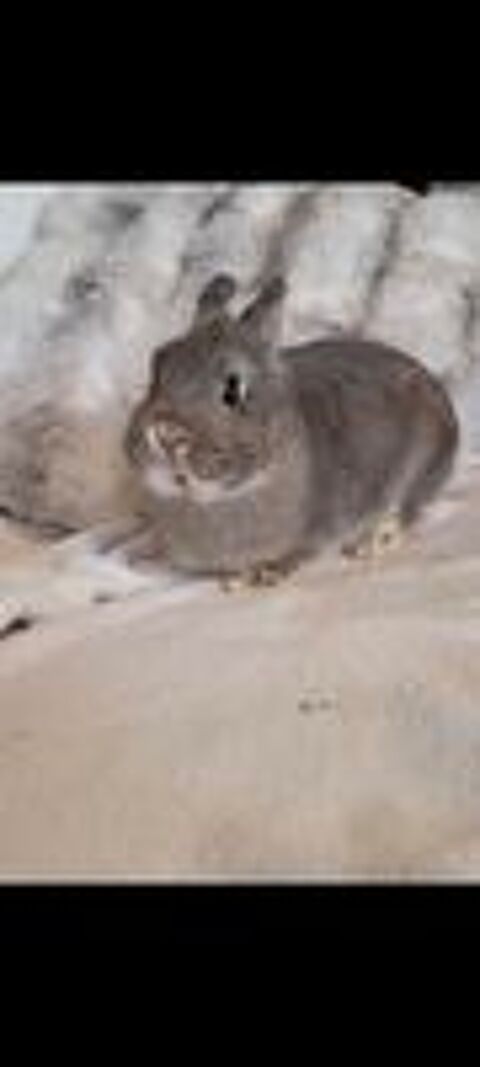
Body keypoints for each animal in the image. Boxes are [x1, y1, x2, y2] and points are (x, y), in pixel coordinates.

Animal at [122, 271, 460, 583]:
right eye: (158, 365)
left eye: (233, 389)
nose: (166, 433)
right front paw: (235, 579)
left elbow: (303, 551)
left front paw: (270, 573)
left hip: (425, 459)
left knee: (408, 509)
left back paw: (371, 543)